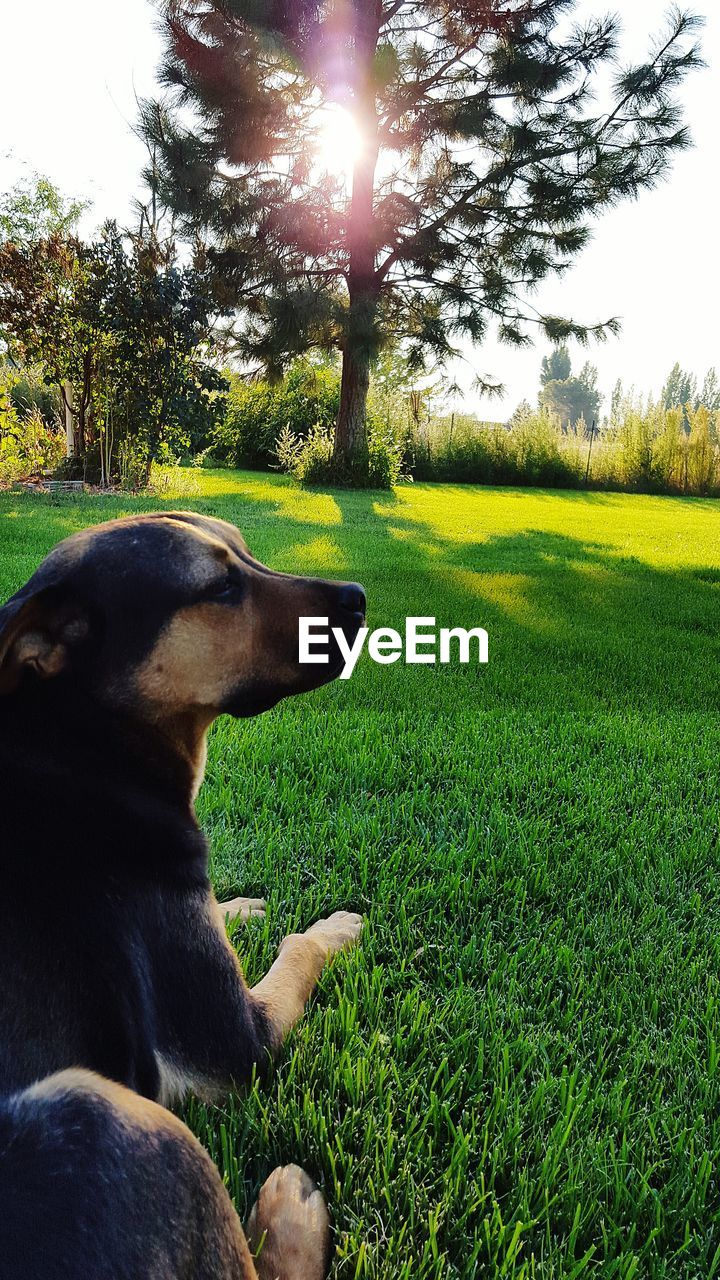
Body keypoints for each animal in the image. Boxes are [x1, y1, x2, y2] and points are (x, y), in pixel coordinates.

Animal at [0, 512, 366, 1280]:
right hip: (100, 1114)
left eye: (246, 553)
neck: (84, 747)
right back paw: (290, 1212)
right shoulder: (239, 1044)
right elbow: (300, 948)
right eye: (219, 586)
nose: (359, 597)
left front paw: (242, 906)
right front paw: (334, 927)